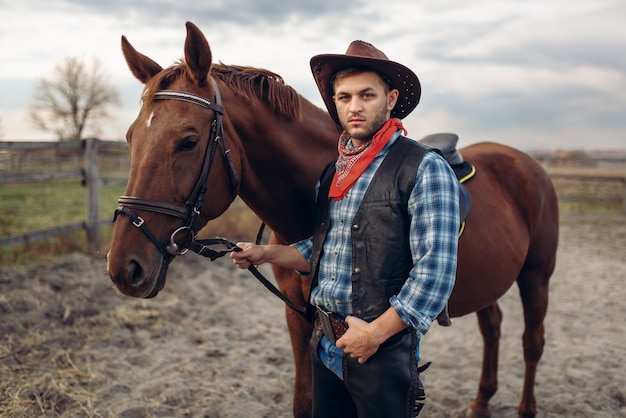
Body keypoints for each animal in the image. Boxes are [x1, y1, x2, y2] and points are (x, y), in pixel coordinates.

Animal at [107, 22, 556, 418]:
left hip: (536, 275)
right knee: (492, 327)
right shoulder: (299, 318)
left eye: (188, 141)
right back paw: (481, 402)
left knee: (532, 342)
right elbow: (304, 402)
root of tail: (526, 162)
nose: (123, 268)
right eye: (129, 138)